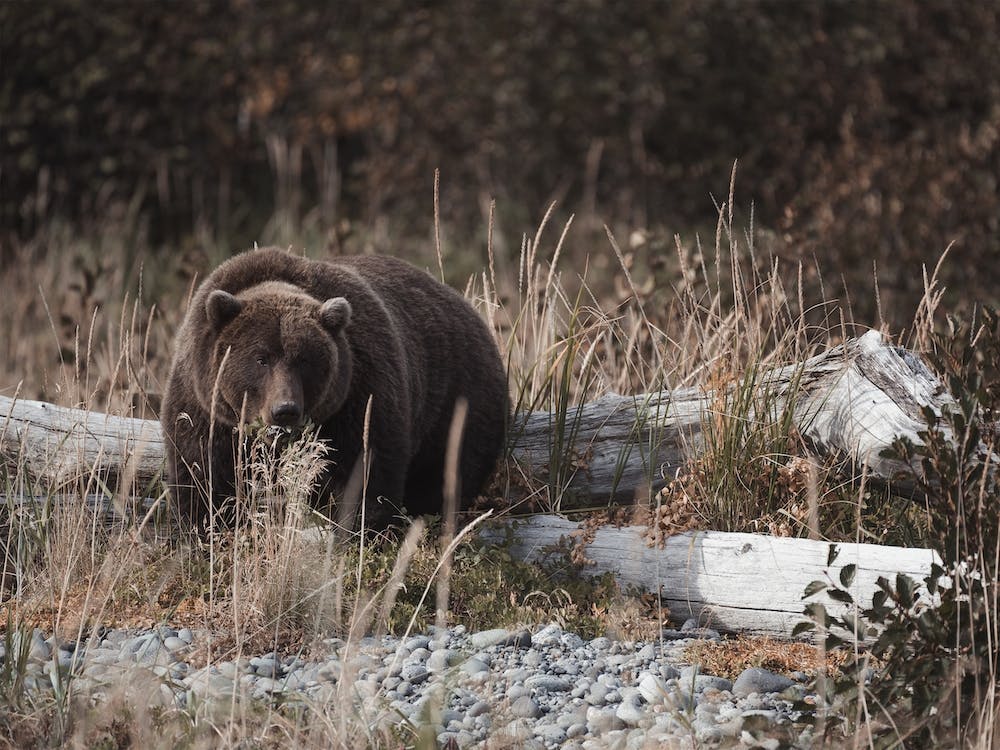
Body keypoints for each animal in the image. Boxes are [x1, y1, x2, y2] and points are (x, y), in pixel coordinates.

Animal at [160, 246, 508, 532]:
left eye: (304, 359)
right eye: (261, 358)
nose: (285, 410)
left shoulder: (357, 393)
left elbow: (365, 471)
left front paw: (361, 530)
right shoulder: (205, 406)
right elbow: (203, 474)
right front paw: (208, 528)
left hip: (459, 399)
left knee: (448, 471)